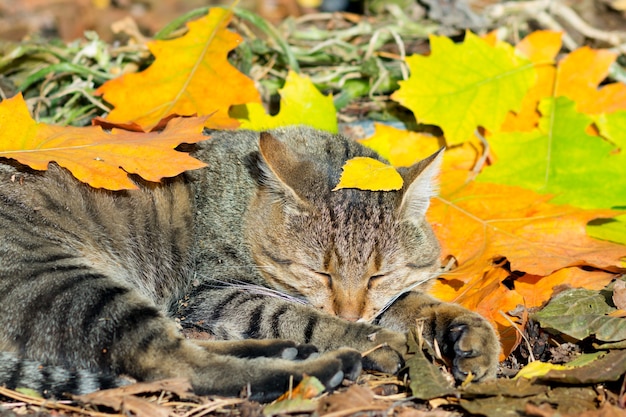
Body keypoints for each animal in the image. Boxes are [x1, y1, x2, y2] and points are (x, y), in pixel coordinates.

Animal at [0, 126, 498, 400]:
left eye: (380, 274)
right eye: (319, 272)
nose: (351, 311)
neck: (246, 202)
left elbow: (411, 301)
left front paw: (466, 330)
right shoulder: (211, 291)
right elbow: (299, 314)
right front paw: (371, 337)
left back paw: (286, 352)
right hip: (74, 289)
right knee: (176, 364)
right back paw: (316, 366)